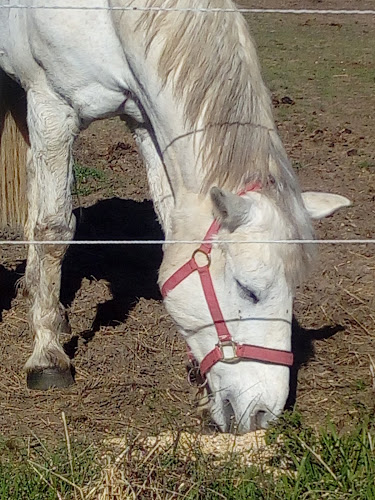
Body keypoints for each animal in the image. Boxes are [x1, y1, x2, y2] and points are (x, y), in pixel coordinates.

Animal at [0, 0, 352, 432]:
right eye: (249, 289)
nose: (263, 413)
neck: (107, 17)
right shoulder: (52, 107)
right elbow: (54, 229)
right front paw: (48, 356)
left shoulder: (141, 116)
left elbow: (168, 217)